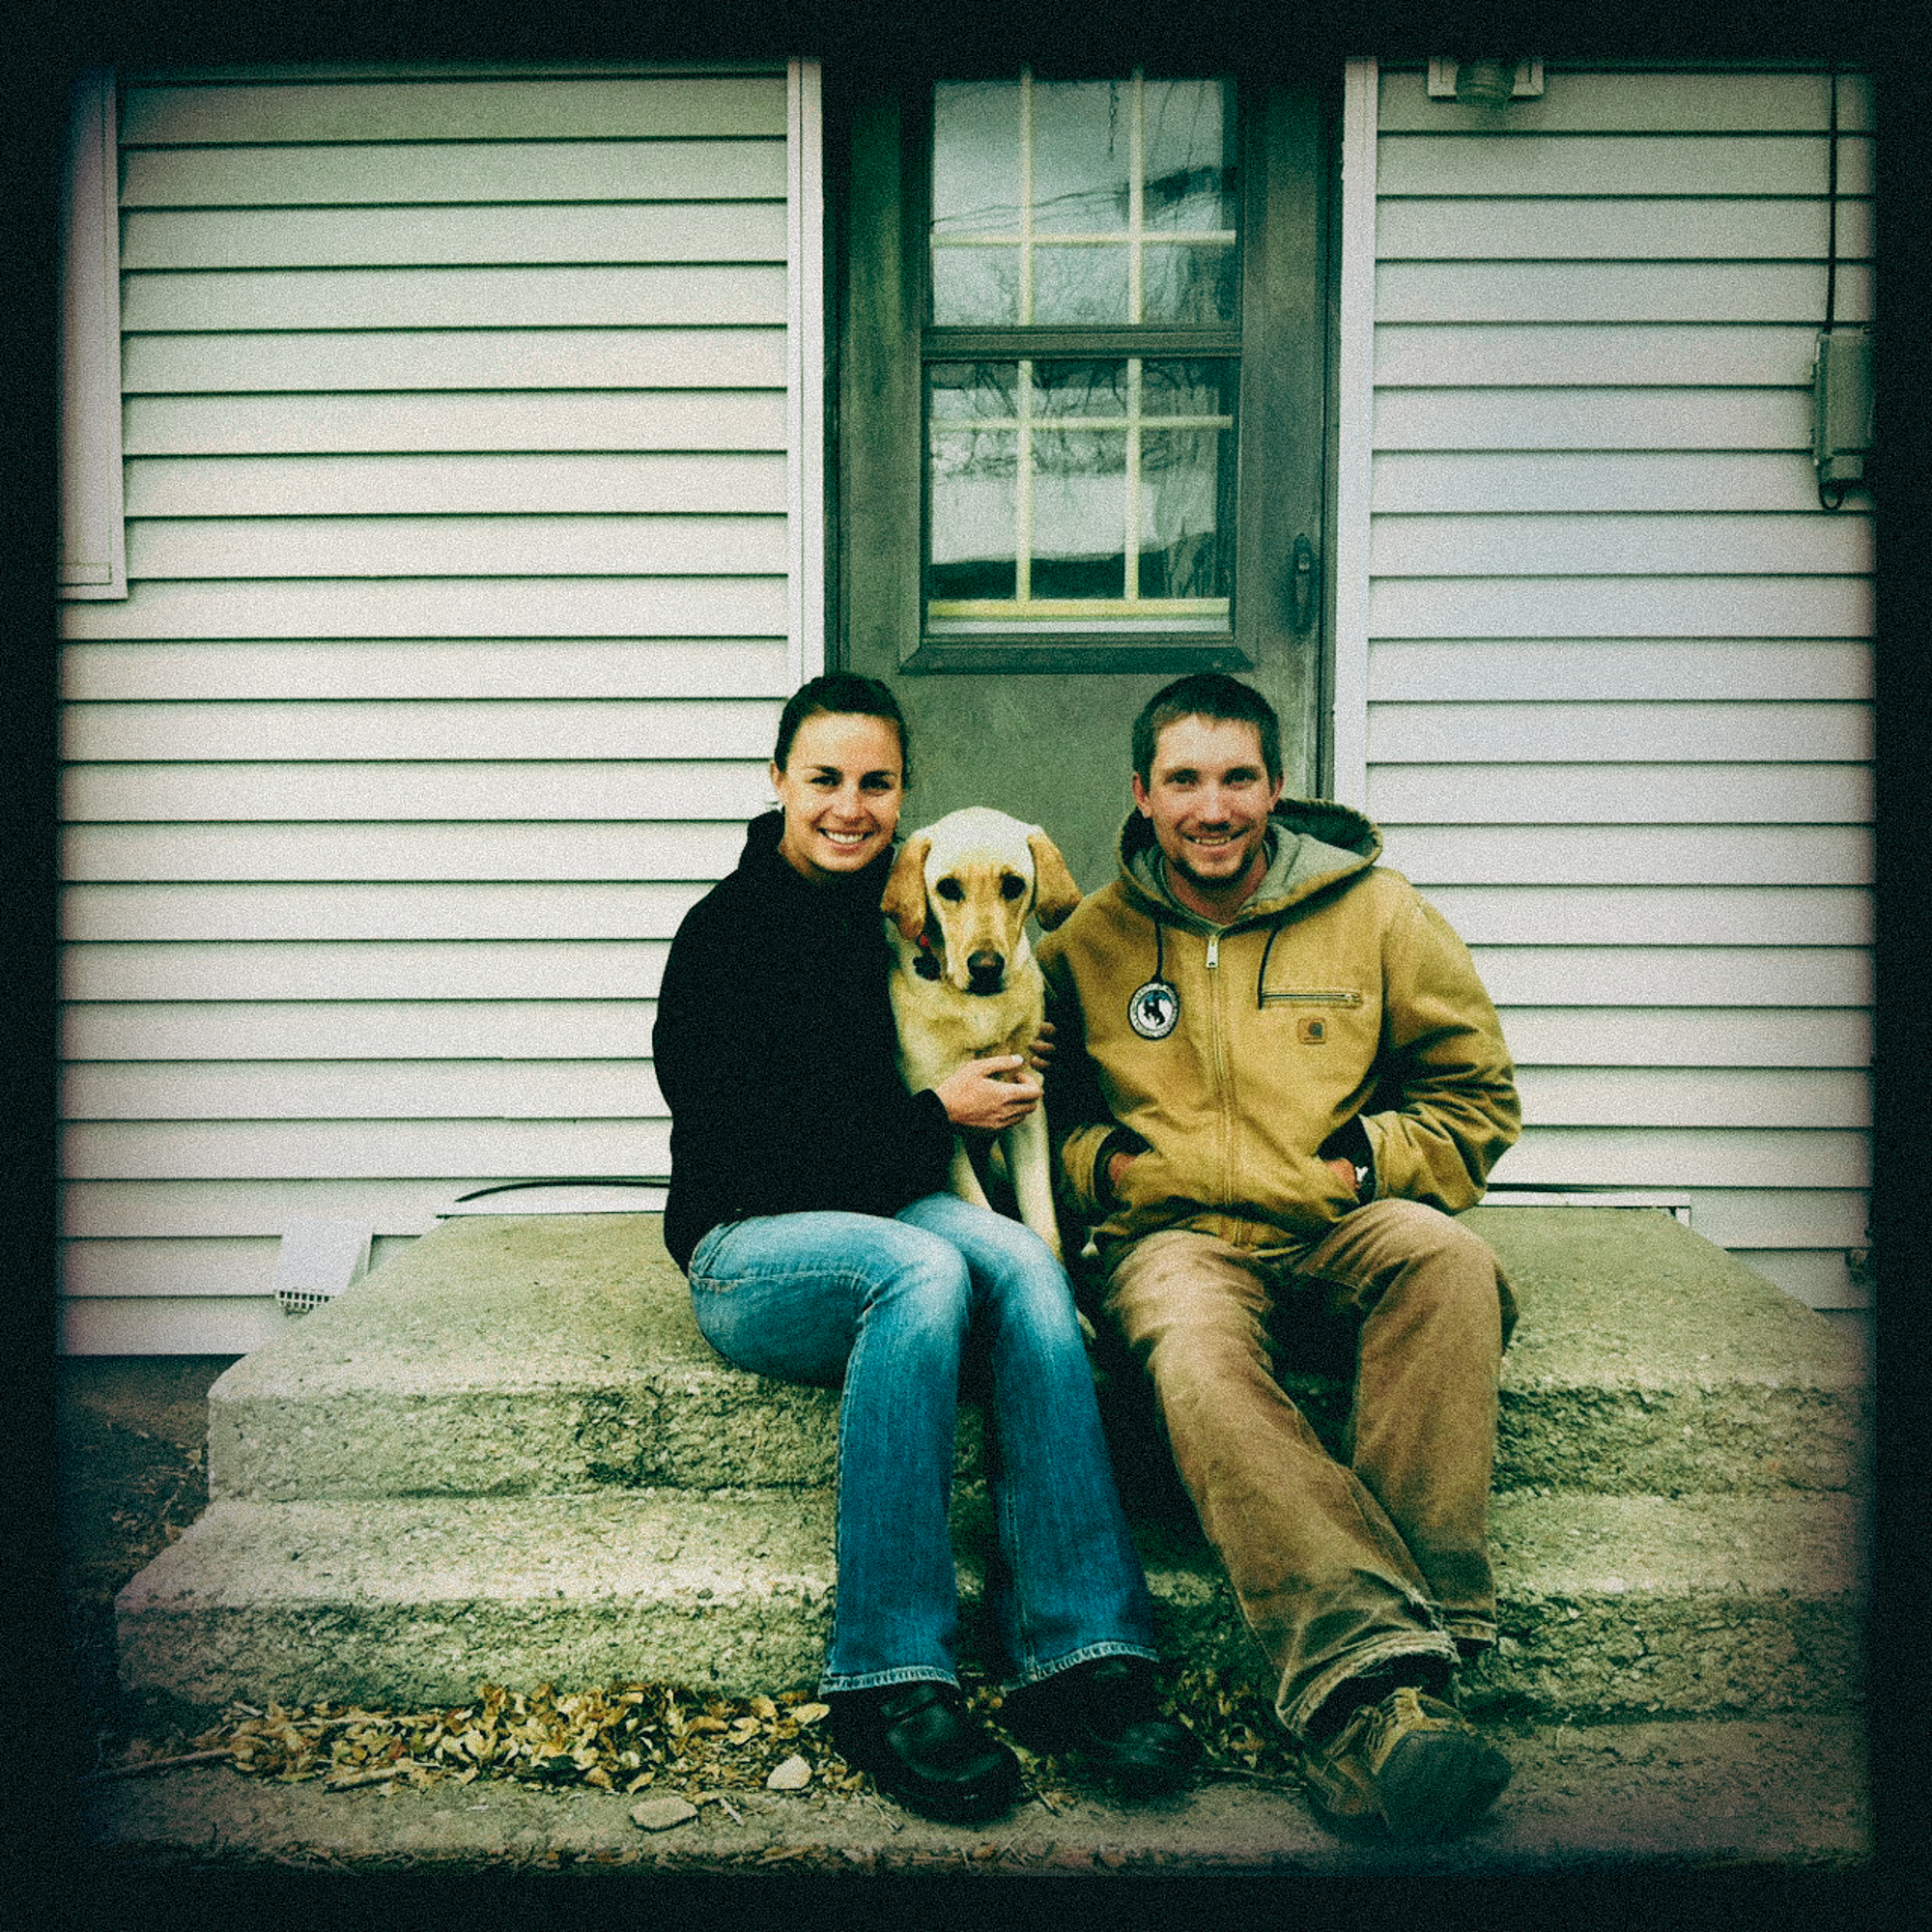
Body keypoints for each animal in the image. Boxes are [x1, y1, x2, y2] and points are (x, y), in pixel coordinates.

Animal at [885, 808, 1090, 1260]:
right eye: (947, 888)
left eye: (1013, 884)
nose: (985, 967)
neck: (976, 1007)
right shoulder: (945, 1121)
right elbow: (985, 1211)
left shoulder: (1027, 1106)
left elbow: (1044, 1227)